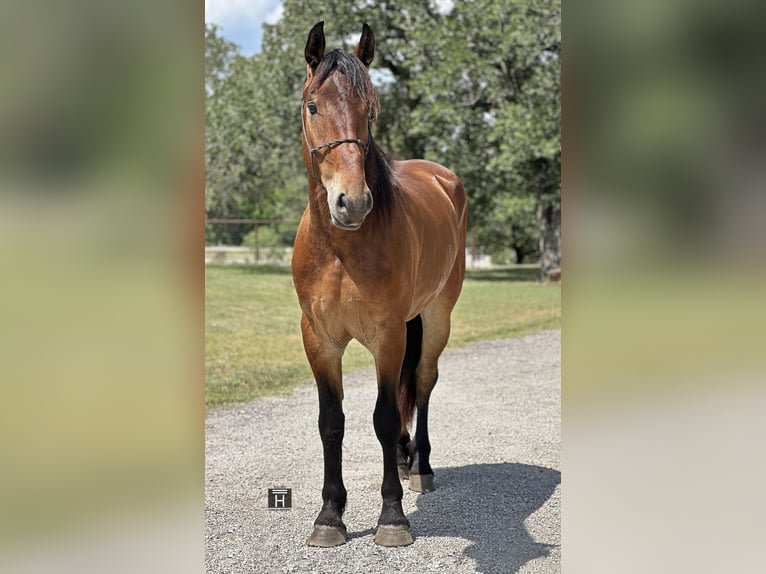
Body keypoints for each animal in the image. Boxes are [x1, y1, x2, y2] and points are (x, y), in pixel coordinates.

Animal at [292, 19, 464, 548]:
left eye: (370, 110)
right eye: (313, 105)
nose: (352, 203)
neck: (341, 250)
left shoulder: (387, 336)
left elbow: (385, 418)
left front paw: (392, 516)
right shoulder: (319, 339)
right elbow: (332, 422)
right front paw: (330, 516)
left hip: (436, 318)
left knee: (423, 383)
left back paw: (420, 467)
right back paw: (407, 460)